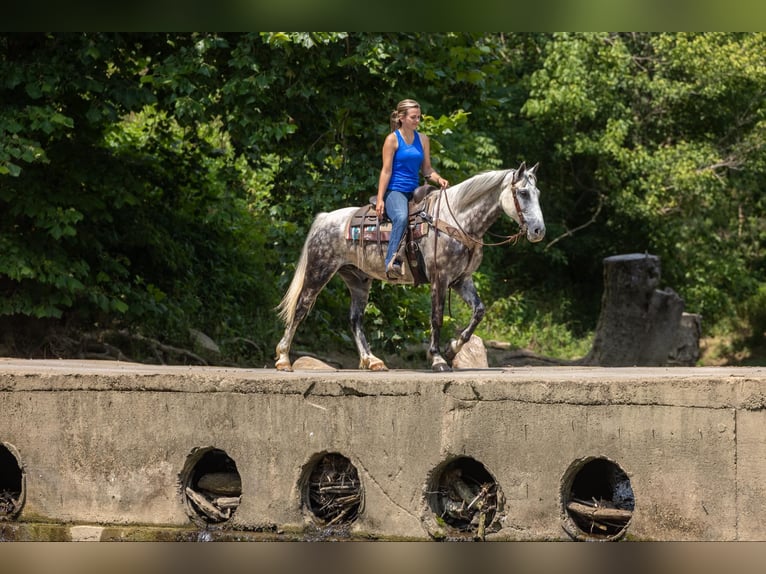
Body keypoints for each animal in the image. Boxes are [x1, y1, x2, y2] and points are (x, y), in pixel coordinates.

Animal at [275, 162, 546, 372]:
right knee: (301, 308)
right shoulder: (440, 278)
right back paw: (284, 359)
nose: (538, 231)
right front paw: (437, 359)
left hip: (358, 280)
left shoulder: (461, 280)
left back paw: (372, 361)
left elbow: (479, 311)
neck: (455, 219)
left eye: (538, 193)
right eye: (523, 193)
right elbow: (436, 317)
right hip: (319, 271)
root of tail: (325, 218)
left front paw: (452, 348)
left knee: (355, 319)